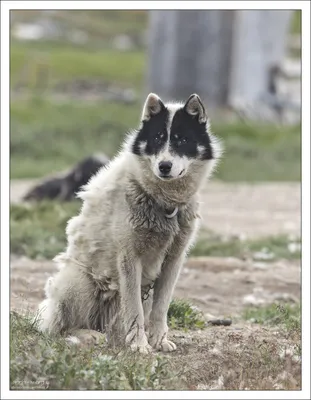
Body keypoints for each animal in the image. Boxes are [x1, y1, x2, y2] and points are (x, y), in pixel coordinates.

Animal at [36, 93, 223, 354]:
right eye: (157, 139)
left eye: (183, 140)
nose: (164, 166)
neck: (163, 203)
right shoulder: (129, 257)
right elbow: (134, 309)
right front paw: (139, 345)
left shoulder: (174, 259)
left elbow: (161, 308)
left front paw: (158, 341)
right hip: (79, 283)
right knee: (63, 328)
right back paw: (89, 335)